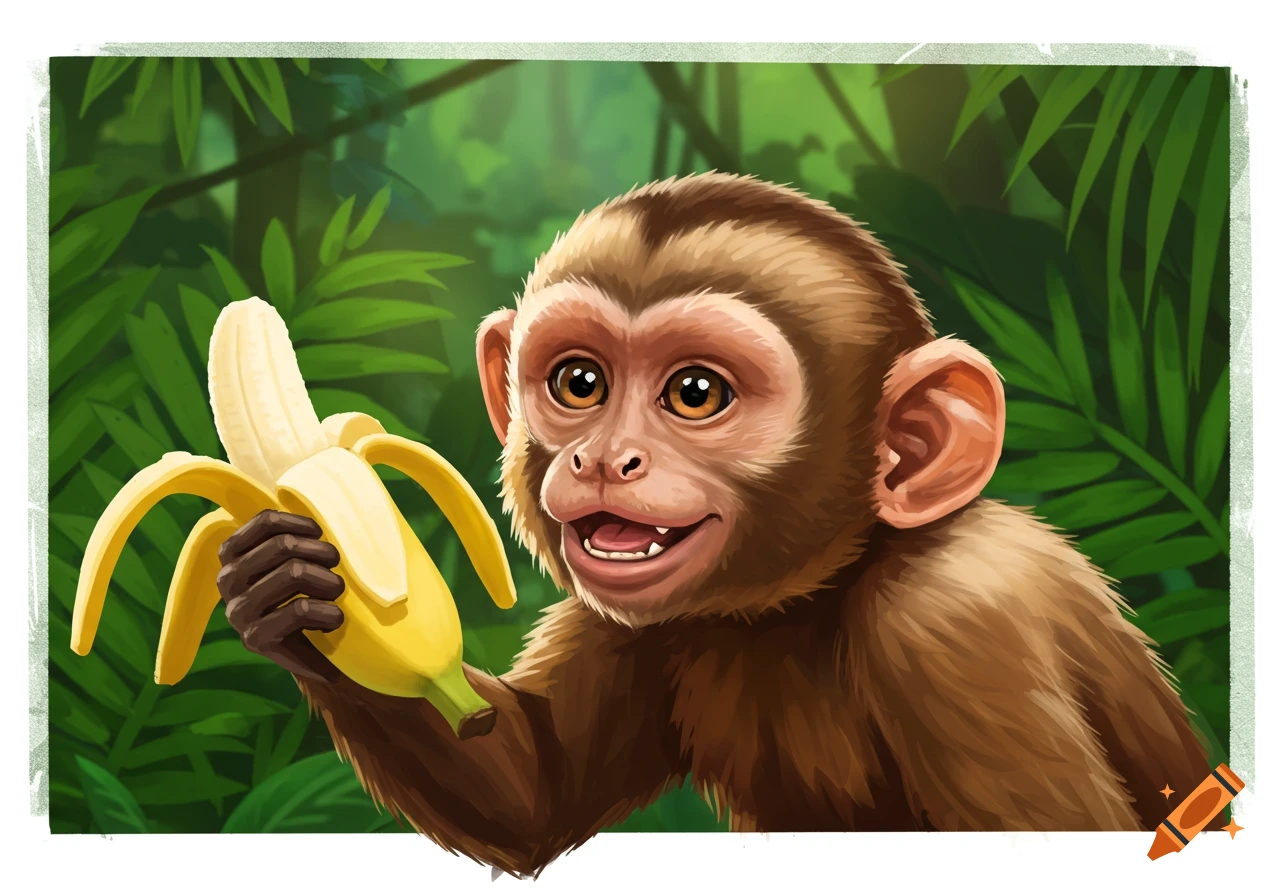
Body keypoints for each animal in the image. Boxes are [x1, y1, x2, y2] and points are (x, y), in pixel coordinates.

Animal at [215, 172, 1212, 877]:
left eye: (696, 394)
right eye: (580, 382)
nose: (605, 459)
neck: (814, 594)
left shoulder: (956, 623)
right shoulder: (631, 622)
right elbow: (537, 793)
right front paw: (289, 586)